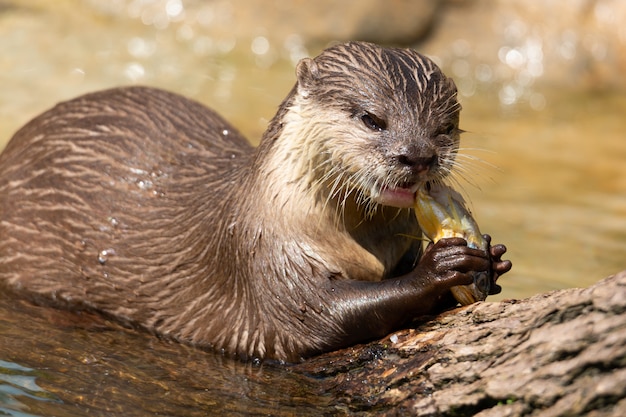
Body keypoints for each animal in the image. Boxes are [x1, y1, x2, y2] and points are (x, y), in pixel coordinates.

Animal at [0, 42, 508, 360]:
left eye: (445, 128)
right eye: (371, 118)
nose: (418, 156)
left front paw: (493, 259)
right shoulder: (264, 253)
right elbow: (319, 317)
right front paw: (440, 266)